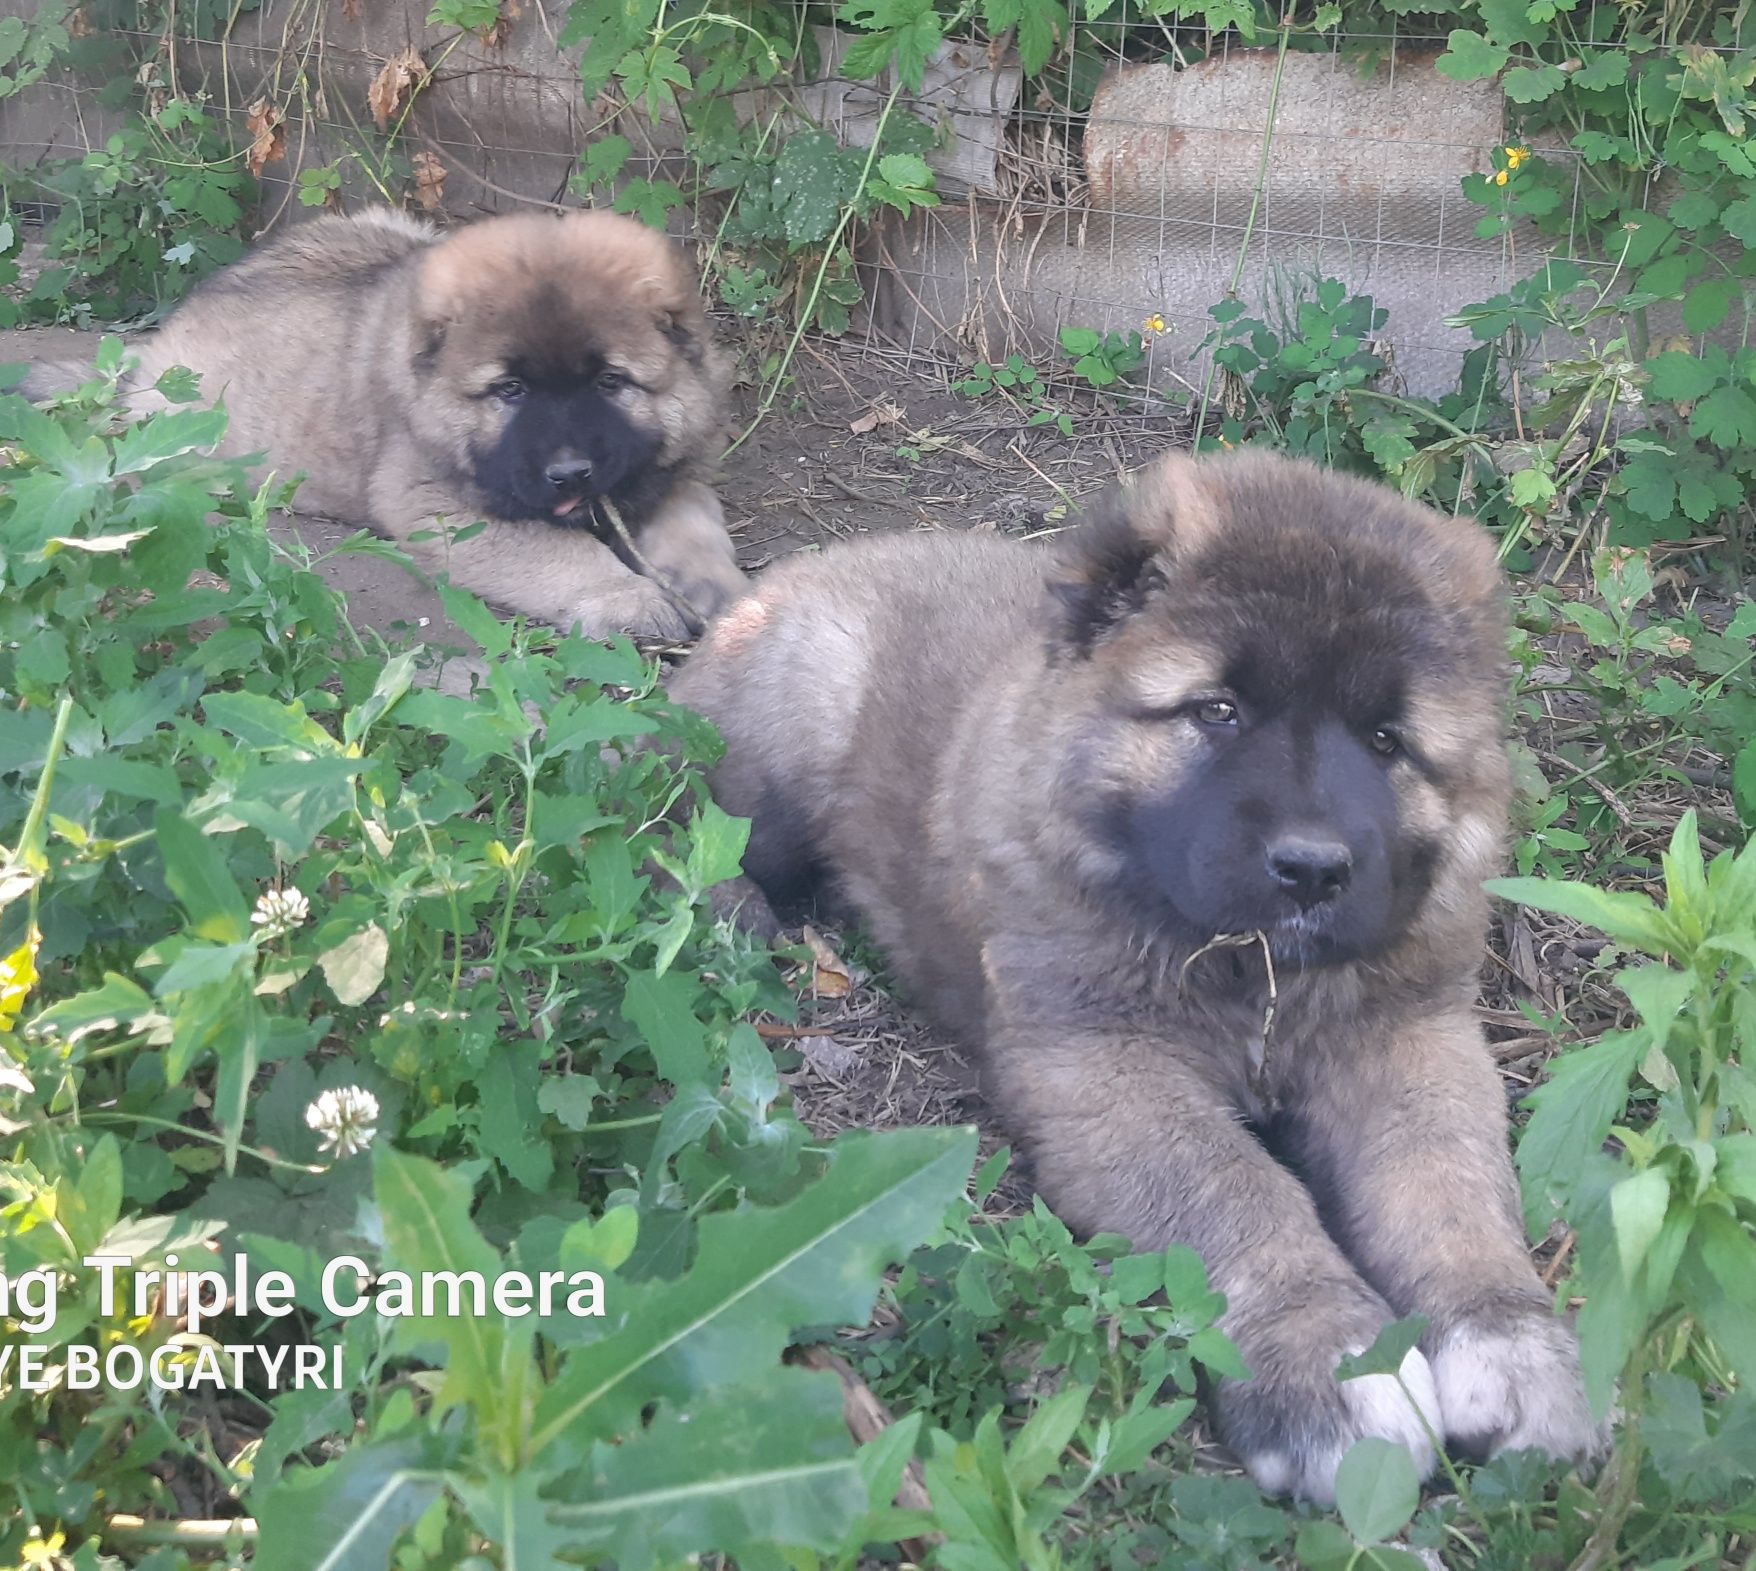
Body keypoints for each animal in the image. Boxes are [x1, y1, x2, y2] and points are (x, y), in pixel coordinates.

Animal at [34, 207, 744, 638]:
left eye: (609, 383)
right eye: (510, 391)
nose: (570, 473)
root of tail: (147, 360)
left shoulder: (672, 474)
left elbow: (697, 534)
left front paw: (728, 597)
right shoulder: (441, 509)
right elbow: (560, 550)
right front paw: (630, 598)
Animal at [670, 452, 1608, 1502]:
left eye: (1385, 741)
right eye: (1217, 711)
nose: (1313, 868)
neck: (1252, 974)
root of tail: (786, 579)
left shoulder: (1410, 1034)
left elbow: (1446, 1185)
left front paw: (1512, 1345)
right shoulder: (1105, 1065)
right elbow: (1236, 1192)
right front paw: (1328, 1365)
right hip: (794, 733)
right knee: (683, 803)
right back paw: (737, 917)